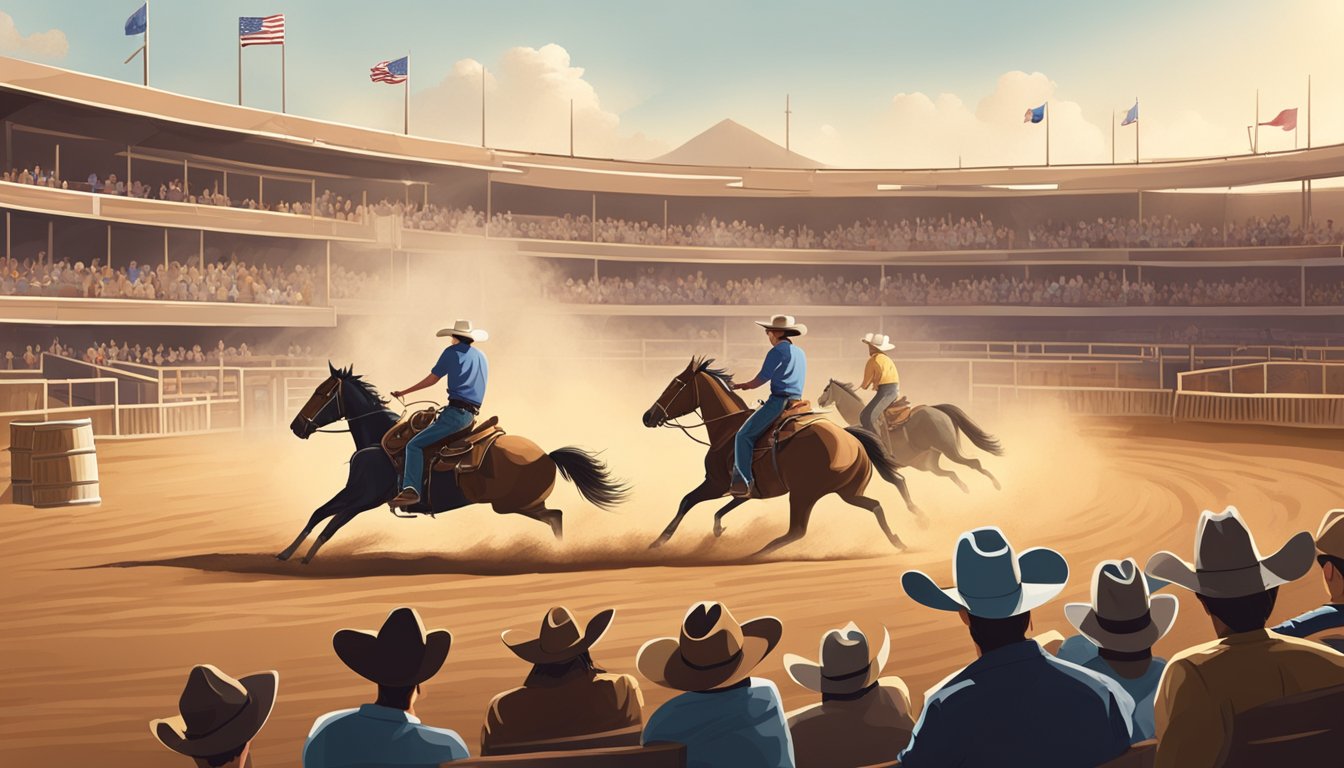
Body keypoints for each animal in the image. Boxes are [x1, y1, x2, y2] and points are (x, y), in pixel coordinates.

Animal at [276, 365, 628, 564]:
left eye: (321, 393)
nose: (296, 426)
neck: (377, 438)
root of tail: (547, 455)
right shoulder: (353, 493)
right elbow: (318, 514)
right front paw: (286, 553)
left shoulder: (364, 498)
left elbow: (332, 524)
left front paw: (307, 558)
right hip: (523, 504)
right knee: (556, 517)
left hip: (513, 504)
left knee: (555, 516)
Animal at [642, 357, 924, 556]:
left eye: (675, 384)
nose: (648, 416)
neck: (727, 428)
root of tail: (852, 440)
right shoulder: (744, 487)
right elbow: (723, 508)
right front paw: (718, 529)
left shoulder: (716, 482)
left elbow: (686, 501)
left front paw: (658, 542)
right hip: (848, 492)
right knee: (876, 505)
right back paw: (900, 540)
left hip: (803, 494)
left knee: (796, 531)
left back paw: (752, 555)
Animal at [811, 381, 1005, 494]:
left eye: (826, 389)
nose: (820, 400)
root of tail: (936, 409)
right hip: (932, 464)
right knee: (952, 473)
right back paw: (968, 490)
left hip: (950, 450)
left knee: (974, 463)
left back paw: (997, 485)